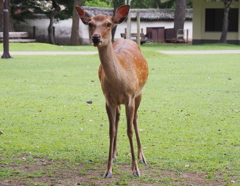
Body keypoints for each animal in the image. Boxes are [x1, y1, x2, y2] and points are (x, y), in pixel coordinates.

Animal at [76, 5, 149, 178]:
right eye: (90, 24)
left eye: (109, 24)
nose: (96, 37)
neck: (120, 82)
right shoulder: (108, 100)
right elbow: (112, 131)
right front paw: (108, 169)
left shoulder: (130, 96)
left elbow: (129, 130)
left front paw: (135, 169)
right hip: (118, 102)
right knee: (118, 118)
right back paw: (115, 154)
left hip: (140, 94)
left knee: (135, 120)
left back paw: (142, 157)